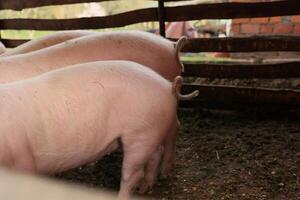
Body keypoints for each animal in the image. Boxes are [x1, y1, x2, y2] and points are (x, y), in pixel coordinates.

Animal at [0, 60, 199, 199]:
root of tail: (167, 86)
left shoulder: (21, 160)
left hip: (139, 133)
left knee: (131, 174)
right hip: (149, 131)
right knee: (154, 155)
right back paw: (145, 188)